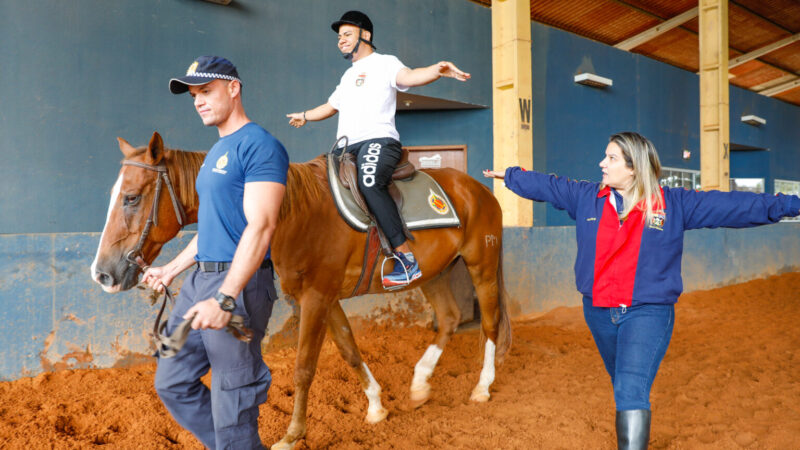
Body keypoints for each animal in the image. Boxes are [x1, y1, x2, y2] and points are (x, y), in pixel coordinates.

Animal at [89, 132, 512, 448]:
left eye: (131, 197)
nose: (102, 274)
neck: (294, 211)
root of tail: (478, 189)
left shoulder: (316, 298)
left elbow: (304, 367)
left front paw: (293, 435)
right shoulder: (325, 298)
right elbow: (349, 350)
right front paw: (376, 407)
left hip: (482, 266)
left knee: (490, 324)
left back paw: (482, 388)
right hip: (436, 274)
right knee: (450, 318)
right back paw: (421, 383)